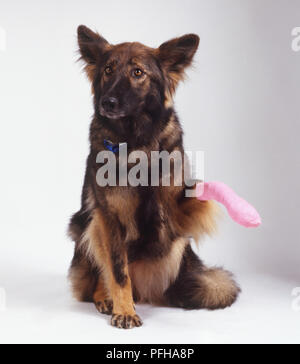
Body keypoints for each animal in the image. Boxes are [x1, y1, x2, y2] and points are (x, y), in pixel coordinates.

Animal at [67, 24, 239, 328]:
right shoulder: (109, 217)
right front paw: (124, 311)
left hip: (175, 248)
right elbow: (117, 271)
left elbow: (189, 199)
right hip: (85, 223)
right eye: (108, 70)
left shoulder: (172, 205)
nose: (107, 102)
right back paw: (106, 298)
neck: (135, 139)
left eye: (138, 72)